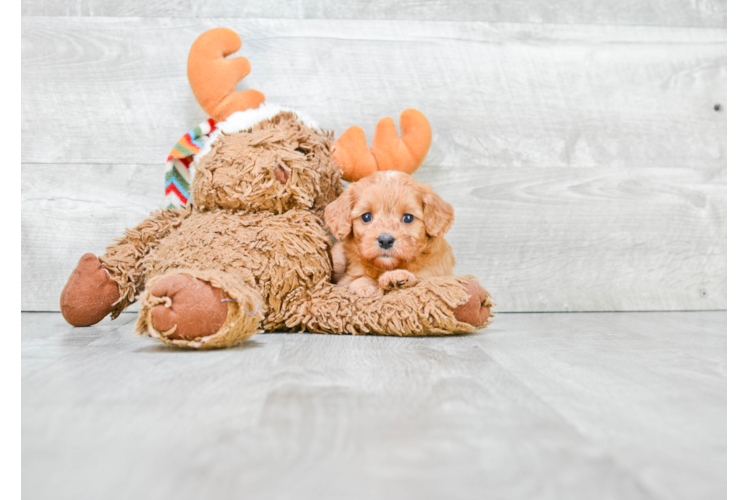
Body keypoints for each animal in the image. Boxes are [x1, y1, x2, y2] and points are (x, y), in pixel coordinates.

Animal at [326, 171, 456, 296]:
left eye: (408, 218)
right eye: (366, 217)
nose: (385, 240)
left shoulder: (435, 275)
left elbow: (421, 279)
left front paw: (398, 276)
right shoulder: (345, 280)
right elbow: (357, 278)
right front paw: (363, 285)